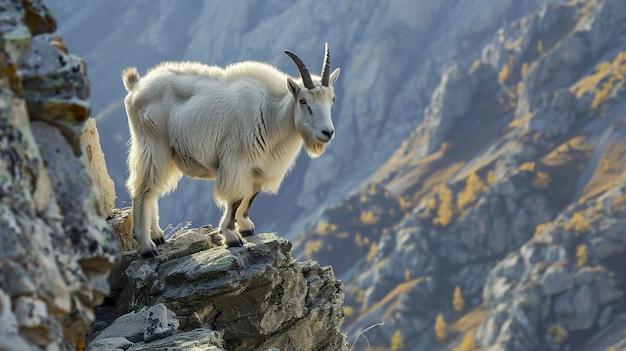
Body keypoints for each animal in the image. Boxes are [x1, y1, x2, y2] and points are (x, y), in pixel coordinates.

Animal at [120, 45, 338, 258]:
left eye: (332, 99)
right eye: (303, 101)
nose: (327, 132)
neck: (271, 113)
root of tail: (136, 86)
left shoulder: (258, 167)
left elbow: (250, 196)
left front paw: (246, 227)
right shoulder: (235, 161)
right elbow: (235, 199)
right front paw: (231, 236)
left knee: (151, 191)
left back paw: (157, 236)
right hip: (152, 144)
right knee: (142, 188)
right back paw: (146, 246)